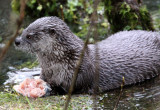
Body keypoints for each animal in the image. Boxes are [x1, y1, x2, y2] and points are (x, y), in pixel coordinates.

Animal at [14, 16, 160, 94]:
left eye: (29, 35)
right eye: (23, 30)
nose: (16, 41)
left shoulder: (80, 72)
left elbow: (69, 88)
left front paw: (51, 89)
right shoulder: (46, 71)